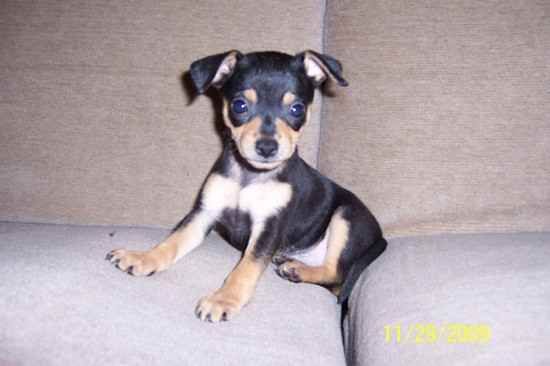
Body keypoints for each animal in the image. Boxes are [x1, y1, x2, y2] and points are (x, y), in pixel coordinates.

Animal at [105, 50, 386, 322]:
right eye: (239, 105)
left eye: (296, 109)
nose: (267, 147)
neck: (250, 176)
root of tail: (380, 238)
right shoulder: (204, 214)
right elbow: (172, 241)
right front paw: (143, 258)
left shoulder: (267, 229)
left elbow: (246, 268)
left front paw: (223, 300)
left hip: (345, 216)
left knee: (336, 274)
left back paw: (296, 269)